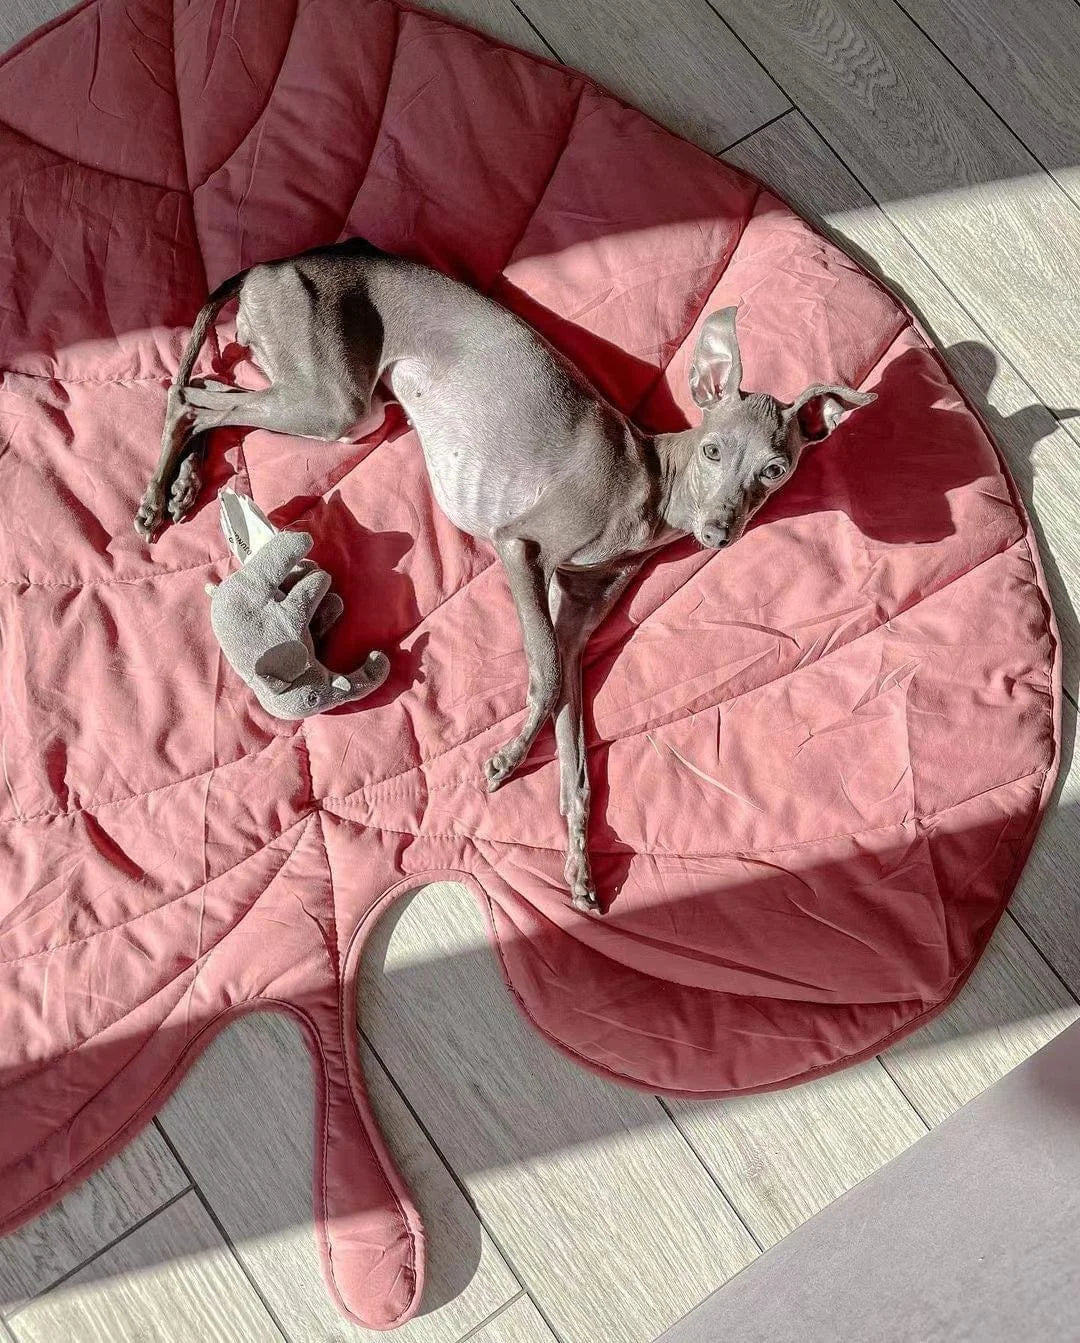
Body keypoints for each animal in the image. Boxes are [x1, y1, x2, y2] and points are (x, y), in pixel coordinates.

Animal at [137, 239, 875, 913]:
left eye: (774, 470)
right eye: (715, 450)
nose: (720, 531)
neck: (650, 485)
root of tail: (273, 264)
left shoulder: (576, 623)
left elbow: (576, 753)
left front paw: (579, 862)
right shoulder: (519, 547)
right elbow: (544, 677)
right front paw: (507, 761)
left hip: (336, 405)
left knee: (215, 393)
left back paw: (183, 485)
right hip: (340, 405)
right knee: (191, 395)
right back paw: (155, 496)